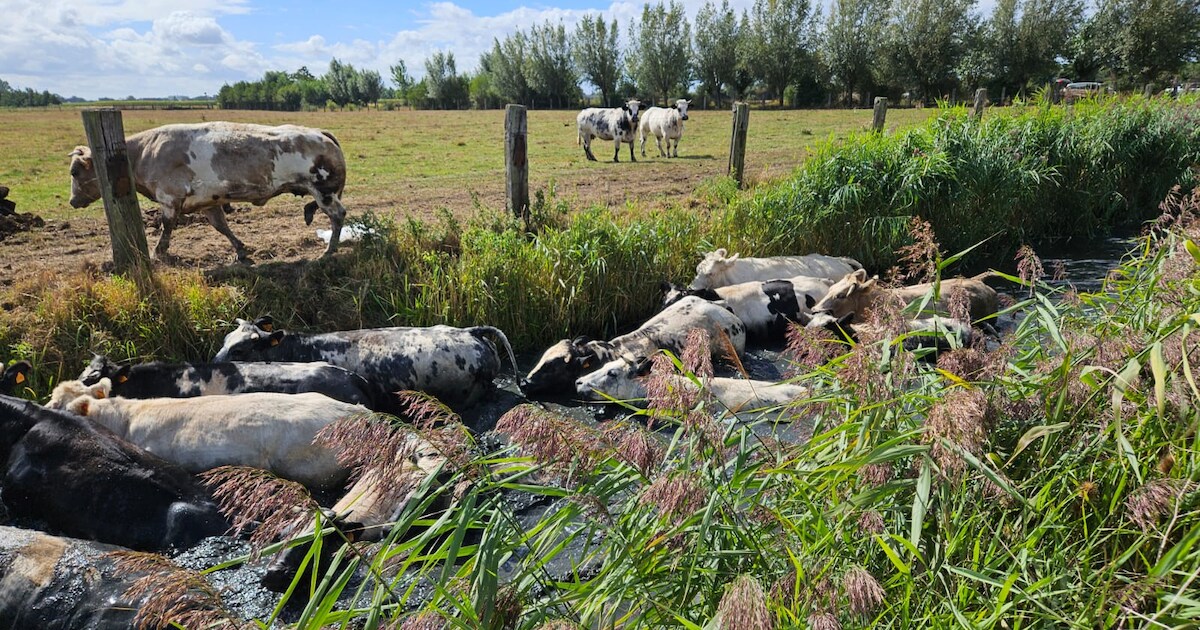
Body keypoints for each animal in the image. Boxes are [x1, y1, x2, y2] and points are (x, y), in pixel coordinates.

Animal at [67, 122, 349, 262]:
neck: (143, 153)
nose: (72, 201)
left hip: (324, 191)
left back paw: (328, 251)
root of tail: (318, 132)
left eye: (74, 172)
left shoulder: (170, 198)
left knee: (338, 215)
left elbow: (166, 227)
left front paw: (158, 253)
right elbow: (221, 226)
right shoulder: (209, 201)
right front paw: (240, 250)